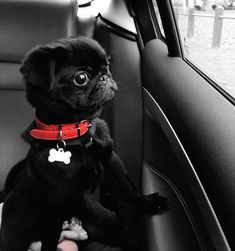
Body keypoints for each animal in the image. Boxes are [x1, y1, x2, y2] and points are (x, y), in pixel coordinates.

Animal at [0, 35, 169, 251]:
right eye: (81, 78)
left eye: (107, 64)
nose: (105, 76)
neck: (78, 132)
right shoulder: (76, 196)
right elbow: (108, 217)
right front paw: (130, 235)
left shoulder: (111, 161)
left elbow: (127, 188)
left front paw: (147, 202)